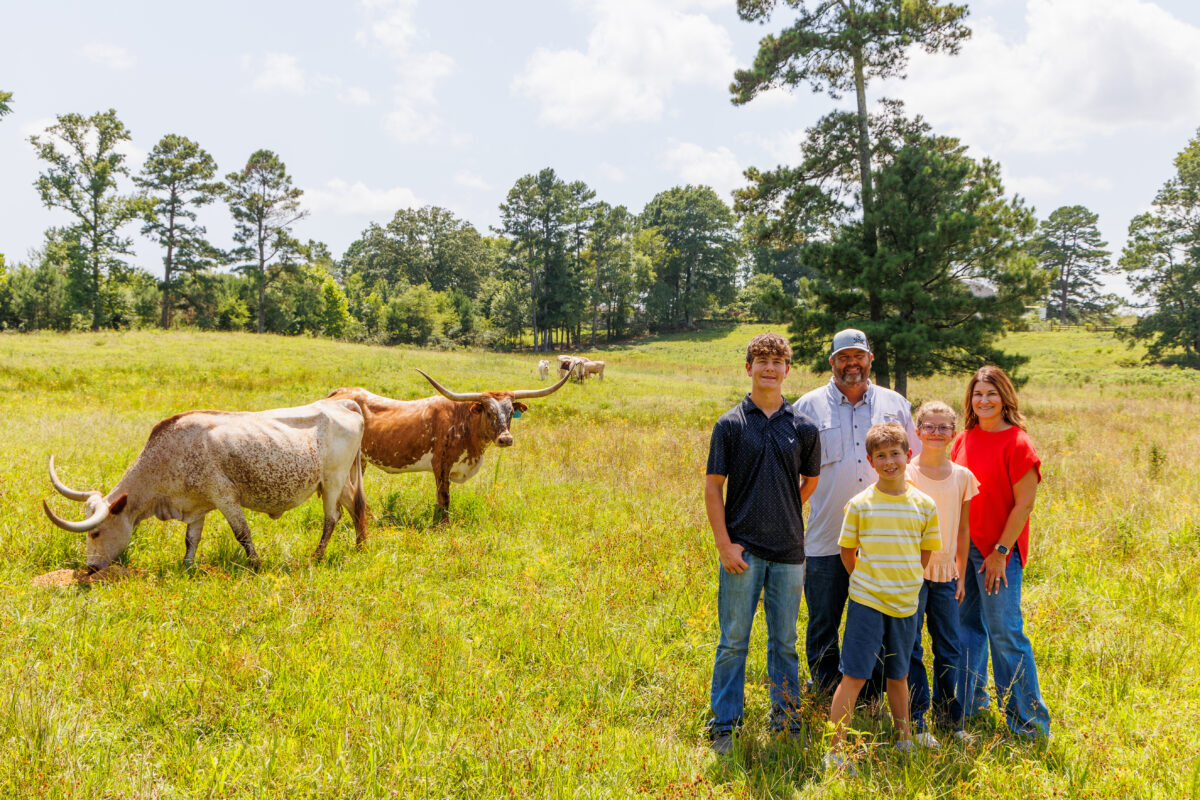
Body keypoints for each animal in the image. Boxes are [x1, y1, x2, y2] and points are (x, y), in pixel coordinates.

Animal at [43, 398, 364, 573]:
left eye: (95, 532)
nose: (90, 568)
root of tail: (340, 403)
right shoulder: (195, 507)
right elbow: (191, 539)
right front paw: (187, 566)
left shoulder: (225, 497)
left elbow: (242, 533)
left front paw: (256, 565)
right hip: (342, 482)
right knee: (357, 507)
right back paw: (361, 546)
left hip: (332, 481)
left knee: (332, 518)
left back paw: (317, 556)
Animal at [328, 369, 571, 520]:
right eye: (489, 412)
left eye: (511, 412)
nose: (505, 439)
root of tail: (339, 392)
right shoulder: (441, 465)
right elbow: (444, 499)